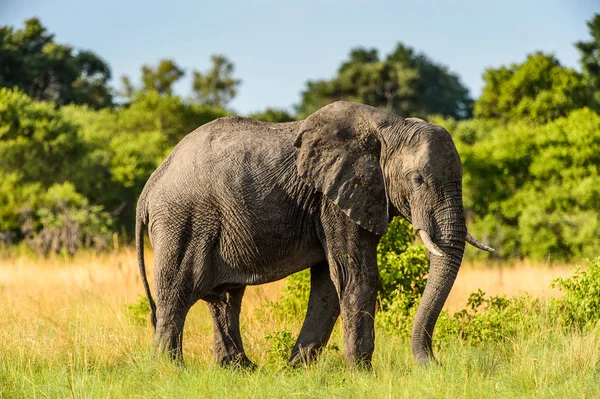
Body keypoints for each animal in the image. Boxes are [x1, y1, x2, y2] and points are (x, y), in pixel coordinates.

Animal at [135, 100, 492, 368]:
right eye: (417, 180)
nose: (434, 363)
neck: (390, 127)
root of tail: (150, 187)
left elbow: (329, 284)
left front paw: (295, 371)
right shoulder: (336, 196)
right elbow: (356, 275)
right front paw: (362, 374)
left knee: (225, 299)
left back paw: (241, 369)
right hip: (183, 220)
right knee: (177, 294)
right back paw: (171, 369)